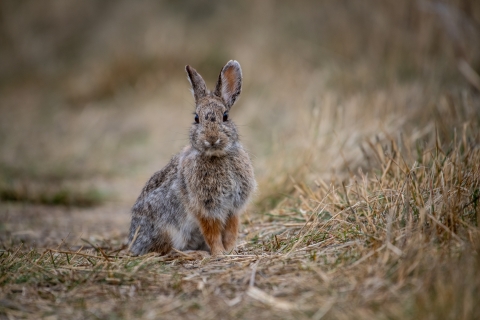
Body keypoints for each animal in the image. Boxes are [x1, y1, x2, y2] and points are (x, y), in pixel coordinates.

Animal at [127, 59, 255, 255]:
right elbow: (212, 232)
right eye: (196, 118)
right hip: (166, 229)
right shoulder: (205, 207)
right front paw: (219, 253)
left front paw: (231, 250)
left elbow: (231, 231)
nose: (211, 138)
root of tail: (133, 244)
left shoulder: (233, 208)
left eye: (225, 116)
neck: (217, 156)